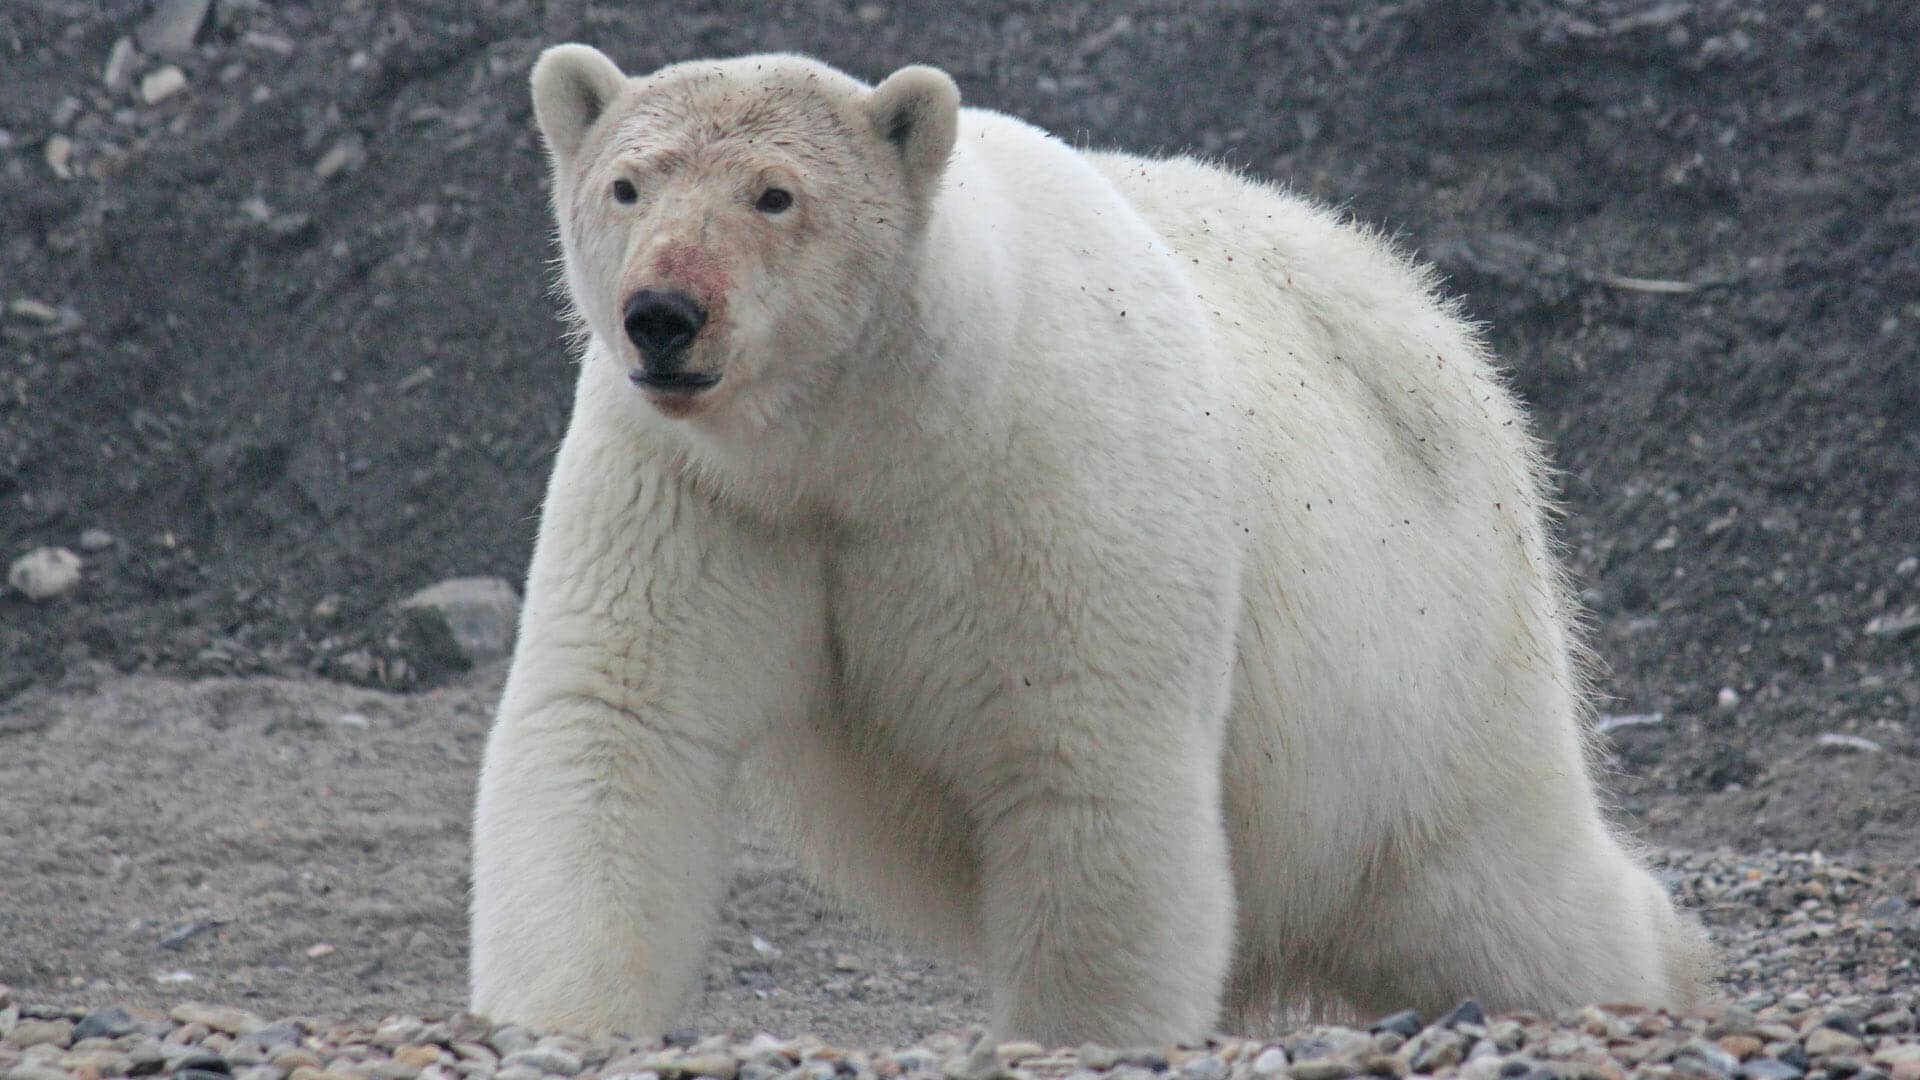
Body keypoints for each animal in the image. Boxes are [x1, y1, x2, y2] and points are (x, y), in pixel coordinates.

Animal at [468, 46, 1712, 1046]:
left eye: (775, 193)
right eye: (627, 184)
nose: (664, 315)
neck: (870, 438)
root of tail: (1444, 333)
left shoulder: (1042, 476)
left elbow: (1085, 764)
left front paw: (1079, 1033)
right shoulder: (698, 493)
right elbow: (619, 724)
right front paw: (560, 1020)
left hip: (1432, 656)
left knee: (1502, 893)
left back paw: (1666, 971)